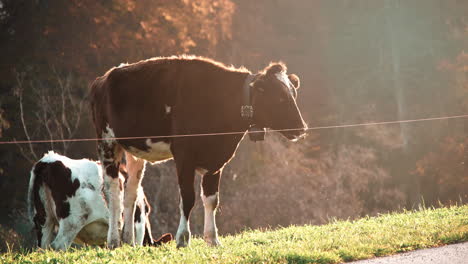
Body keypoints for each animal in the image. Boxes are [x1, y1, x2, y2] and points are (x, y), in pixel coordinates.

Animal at [27, 152, 172, 251]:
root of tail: (47, 161)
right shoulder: (138, 227)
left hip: (44, 219)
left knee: (43, 247)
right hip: (72, 221)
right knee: (58, 246)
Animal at [89, 55, 308, 248]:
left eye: (294, 95)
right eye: (279, 98)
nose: (302, 128)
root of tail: (104, 78)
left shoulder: (216, 160)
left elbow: (212, 200)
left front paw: (212, 239)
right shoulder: (184, 156)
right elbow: (187, 198)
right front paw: (183, 238)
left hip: (134, 150)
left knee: (130, 192)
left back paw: (129, 241)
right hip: (107, 142)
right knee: (113, 191)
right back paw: (113, 241)